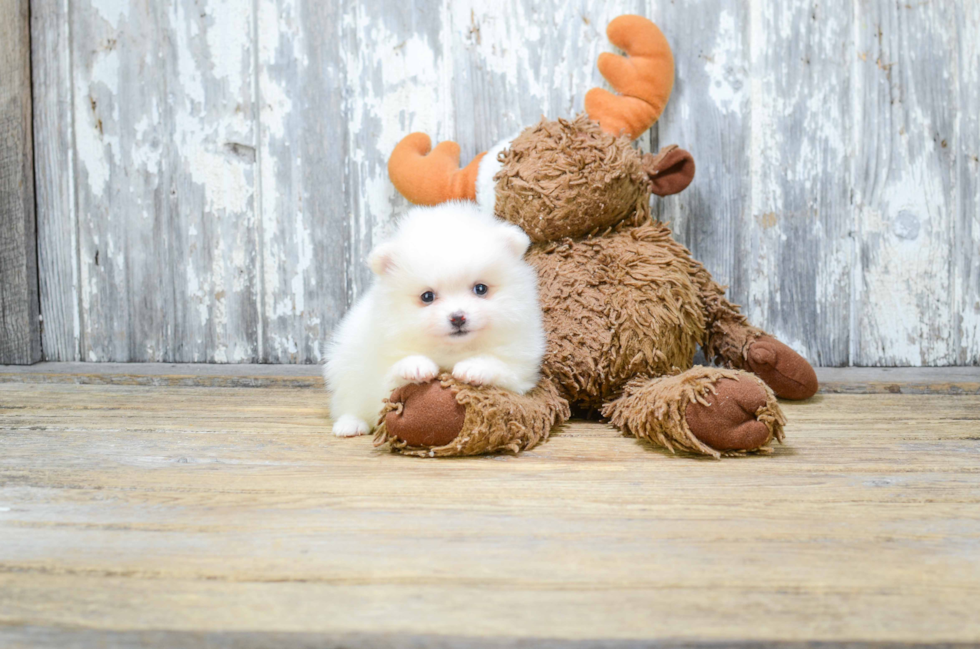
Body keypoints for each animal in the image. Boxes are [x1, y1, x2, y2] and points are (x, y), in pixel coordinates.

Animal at [328, 201, 544, 436]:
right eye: (427, 296)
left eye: (480, 289)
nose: (458, 317)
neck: (452, 351)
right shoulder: (381, 376)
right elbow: (391, 377)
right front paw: (415, 366)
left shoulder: (521, 372)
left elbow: (501, 368)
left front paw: (475, 367)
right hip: (347, 368)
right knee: (349, 402)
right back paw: (350, 424)